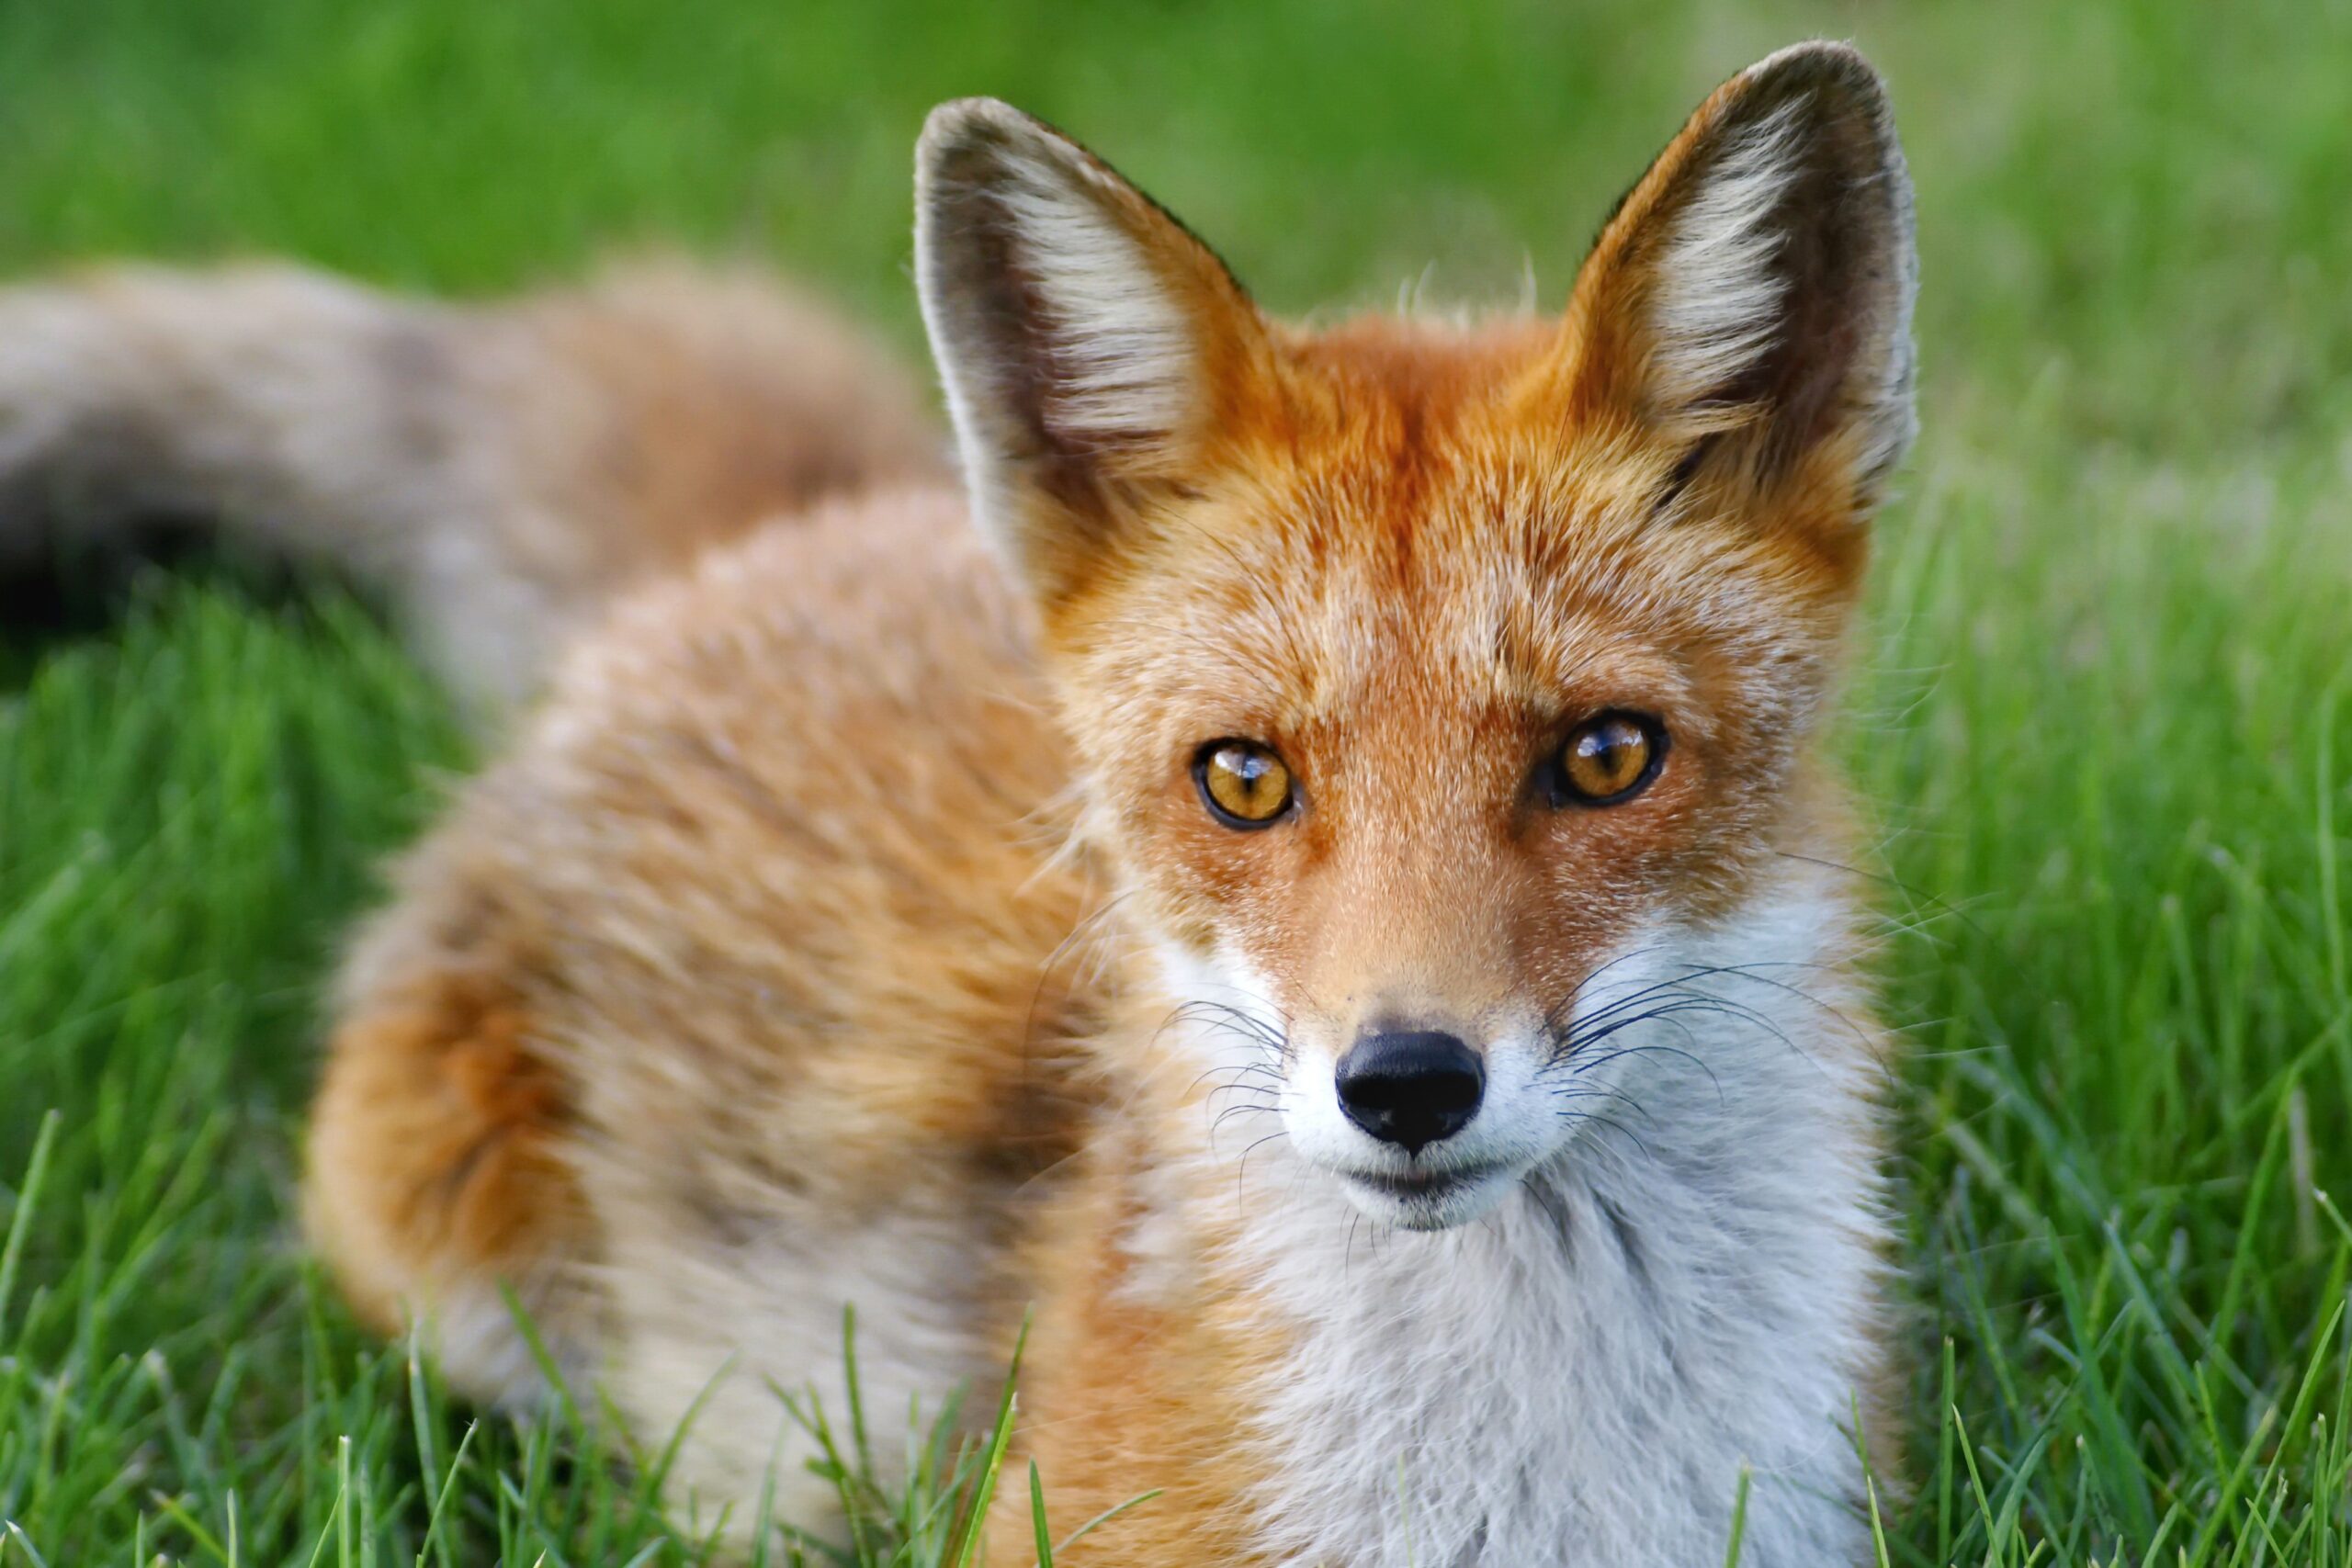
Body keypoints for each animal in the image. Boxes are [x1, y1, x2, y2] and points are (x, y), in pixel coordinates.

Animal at [0, 40, 1918, 1566]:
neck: (1528, 1490)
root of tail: (777, 539)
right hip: (432, 1246)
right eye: (1245, 778)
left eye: (1605, 756)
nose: (1406, 1085)